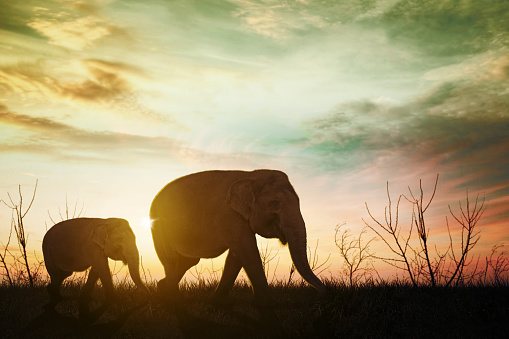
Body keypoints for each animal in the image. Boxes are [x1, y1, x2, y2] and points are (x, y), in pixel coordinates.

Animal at [151, 170, 326, 306]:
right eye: (275, 204)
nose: (319, 294)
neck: (250, 175)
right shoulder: (230, 215)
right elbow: (247, 250)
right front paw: (267, 304)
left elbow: (236, 255)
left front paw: (218, 302)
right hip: (159, 227)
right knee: (171, 259)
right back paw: (173, 301)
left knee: (188, 261)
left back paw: (161, 289)